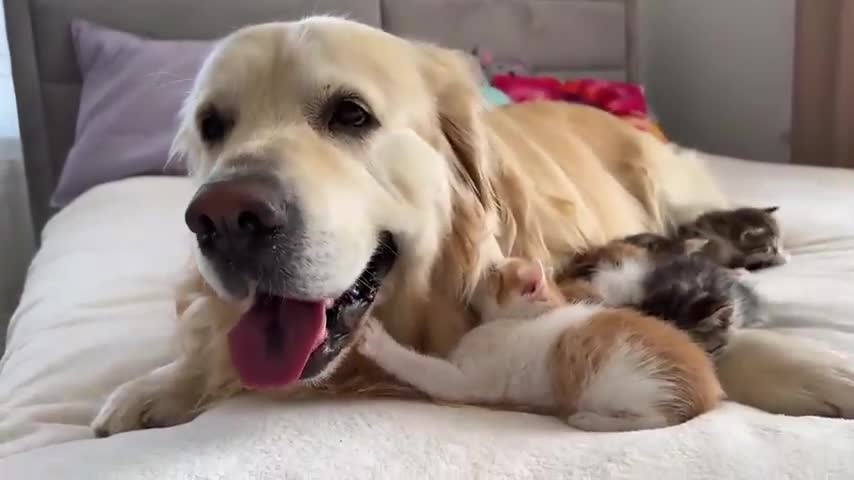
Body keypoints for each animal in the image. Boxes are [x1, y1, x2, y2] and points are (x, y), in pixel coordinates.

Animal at [358, 256, 724, 434]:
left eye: (493, 271)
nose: (479, 267)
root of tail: (710, 392)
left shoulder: (473, 381)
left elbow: (426, 369)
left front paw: (378, 341)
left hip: (623, 380)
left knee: (659, 419)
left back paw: (591, 420)